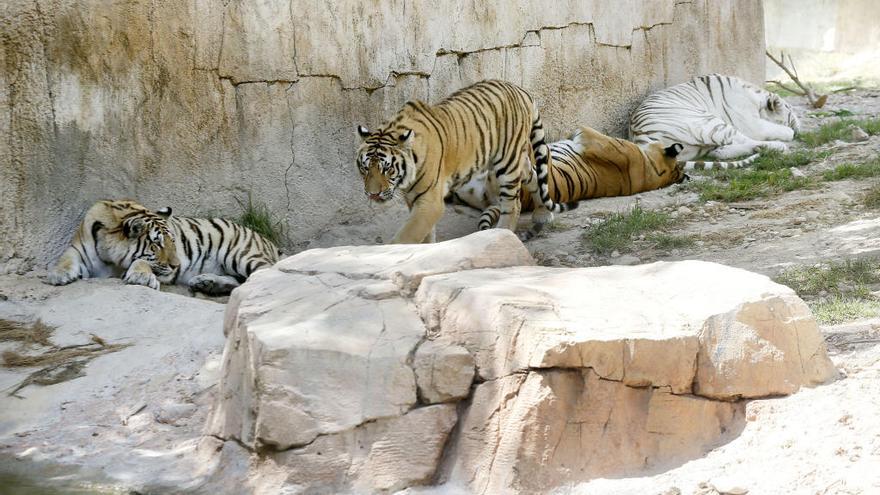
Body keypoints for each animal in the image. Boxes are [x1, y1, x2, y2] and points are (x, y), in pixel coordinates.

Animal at [46, 201, 278, 296]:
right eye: (157, 243)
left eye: (173, 241)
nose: (176, 265)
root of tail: (268, 241)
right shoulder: (79, 247)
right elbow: (66, 257)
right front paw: (59, 274)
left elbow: (141, 261)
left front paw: (141, 277)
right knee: (240, 281)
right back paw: (206, 283)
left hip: (241, 255)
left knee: (262, 275)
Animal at [354, 77, 580, 244]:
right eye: (365, 168)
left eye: (387, 169)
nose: (373, 195)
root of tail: (520, 89)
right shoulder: (414, 200)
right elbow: (425, 234)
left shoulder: (430, 200)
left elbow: (407, 236)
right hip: (515, 160)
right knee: (533, 174)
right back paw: (542, 214)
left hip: (507, 162)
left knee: (513, 203)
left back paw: (501, 234)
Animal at [628, 73, 800, 170]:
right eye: (791, 112)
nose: (800, 127)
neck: (755, 97)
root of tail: (640, 139)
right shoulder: (751, 124)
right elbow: (784, 131)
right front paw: (791, 132)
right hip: (708, 122)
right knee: (743, 140)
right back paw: (778, 146)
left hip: (693, 149)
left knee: (718, 152)